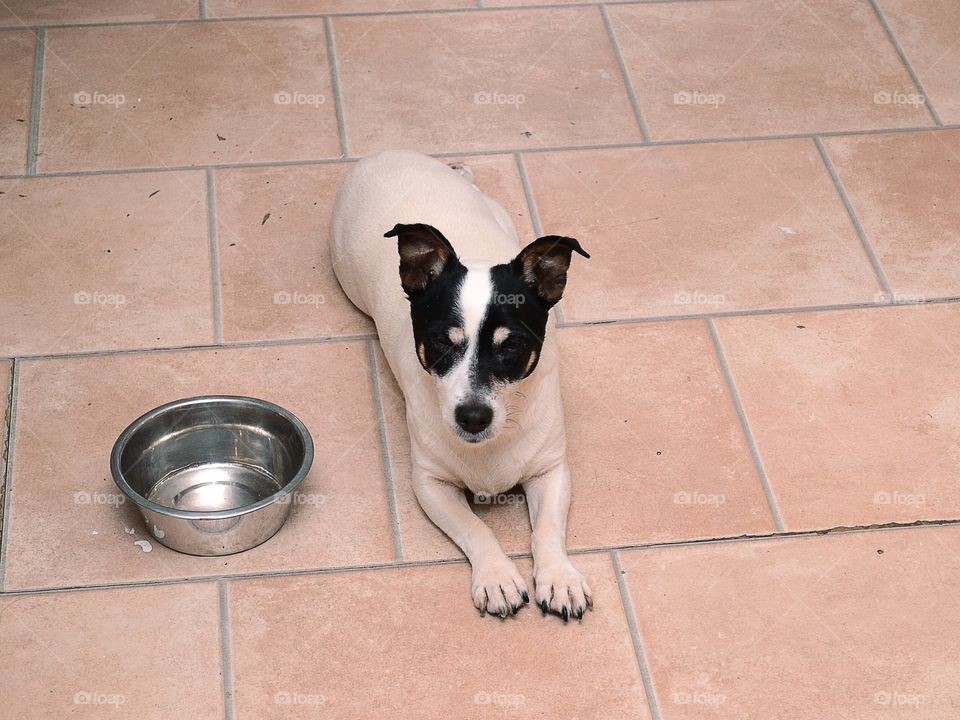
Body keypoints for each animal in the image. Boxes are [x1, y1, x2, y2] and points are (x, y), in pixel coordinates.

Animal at [332, 150, 592, 620]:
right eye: (440, 342)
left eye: (512, 346)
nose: (472, 417)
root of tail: (390, 152)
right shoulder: (431, 484)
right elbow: (475, 528)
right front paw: (497, 577)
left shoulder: (551, 470)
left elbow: (547, 529)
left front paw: (559, 577)